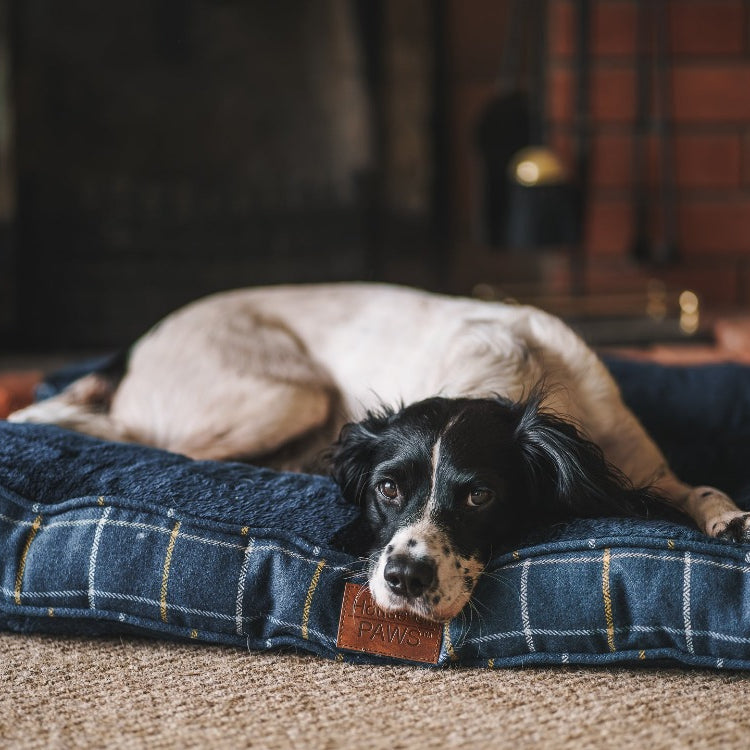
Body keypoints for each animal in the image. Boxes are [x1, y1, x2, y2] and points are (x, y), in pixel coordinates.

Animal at [10, 282, 750, 624]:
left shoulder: (640, 462)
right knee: (143, 438)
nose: (404, 578)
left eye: (480, 495)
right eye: (387, 490)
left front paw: (727, 517)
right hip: (286, 396)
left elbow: (692, 487)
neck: (512, 369)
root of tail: (140, 344)